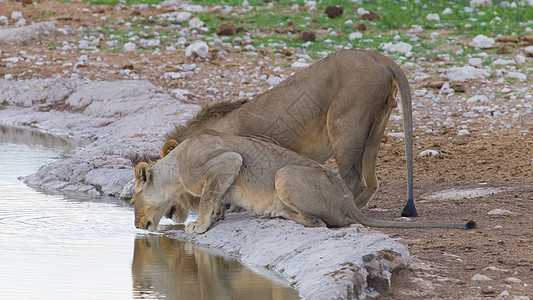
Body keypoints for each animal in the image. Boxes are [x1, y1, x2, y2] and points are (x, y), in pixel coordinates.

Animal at [133, 134, 474, 234]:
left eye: (133, 201)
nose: (136, 226)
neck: (176, 165)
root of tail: (348, 200)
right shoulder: (225, 173)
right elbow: (218, 199)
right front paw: (217, 215)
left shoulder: (227, 160)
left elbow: (206, 197)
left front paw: (200, 225)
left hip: (285, 175)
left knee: (319, 223)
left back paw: (279, 213)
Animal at [164, 50, 418, 217]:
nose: (168, 213)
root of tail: (383, 59)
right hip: (374, 131)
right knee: (372, 182)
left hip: (346, 126)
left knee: (355, 181)